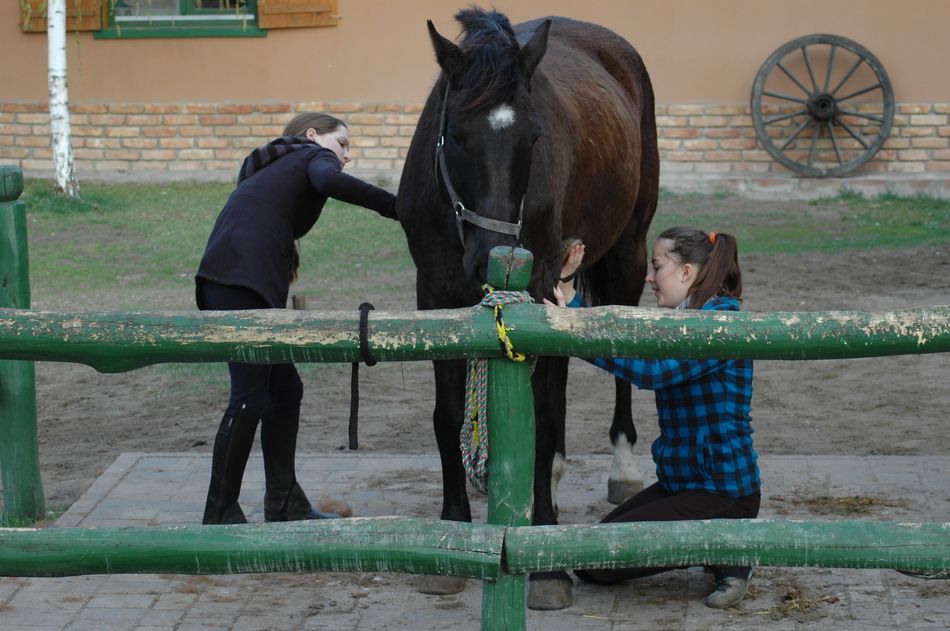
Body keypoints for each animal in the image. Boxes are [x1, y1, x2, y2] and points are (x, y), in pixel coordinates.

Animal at [396, 8, 659, 610]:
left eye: (533, 136)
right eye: (456, 134)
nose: (497, 254)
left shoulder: (538, 288)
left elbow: (538, 413)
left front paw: (545, 565)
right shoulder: (434, 296)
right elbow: (449, 416)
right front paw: (452, 534)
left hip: (626, 253)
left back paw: (622, 468)